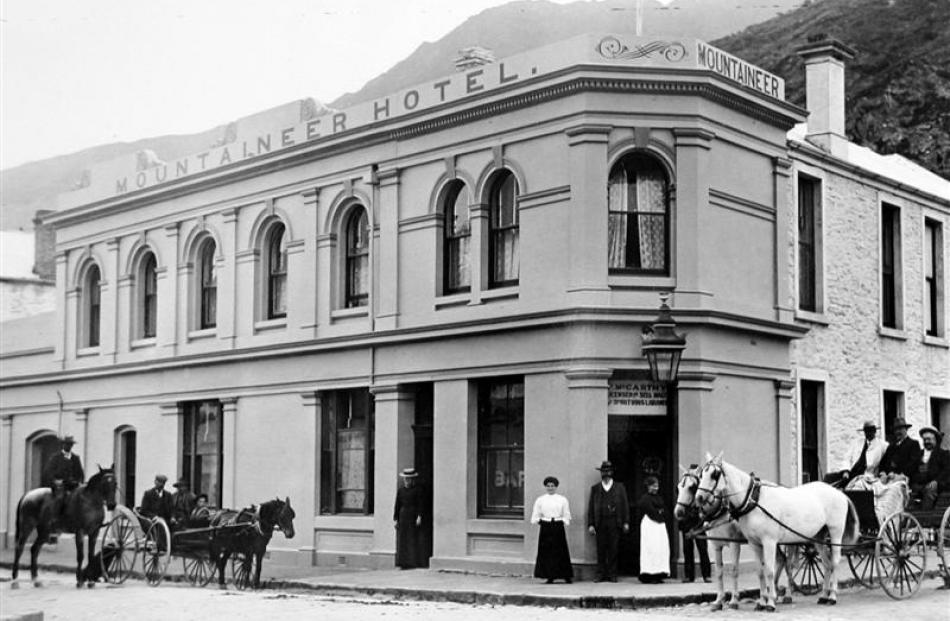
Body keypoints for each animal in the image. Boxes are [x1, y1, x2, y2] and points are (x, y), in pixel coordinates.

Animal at [672, 462, 800, 608]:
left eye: (692, 487)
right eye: (678, 488)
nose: (678, 512)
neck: (720, 509)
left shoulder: (734, 543)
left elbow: (734, 569)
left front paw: (734, 600)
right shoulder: (716, 545)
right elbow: (719, 571)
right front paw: (719, 600)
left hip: (788, 540)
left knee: (789, 564)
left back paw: (788, 594)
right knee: (781, 559)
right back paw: (776, 592)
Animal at [696, 452, 860, 608]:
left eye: (714, 474)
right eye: (701, 474)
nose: (699, 497)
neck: (754, 500)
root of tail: (839, 492)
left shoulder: (765, 541)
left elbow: (767, 569)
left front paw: (769, 602)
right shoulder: (751, 543)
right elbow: (757, 571)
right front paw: (760, 601)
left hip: (835, 532)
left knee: (832, 562)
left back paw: (831, 596)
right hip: (817, 537)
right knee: (825, 564)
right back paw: (823, 596)